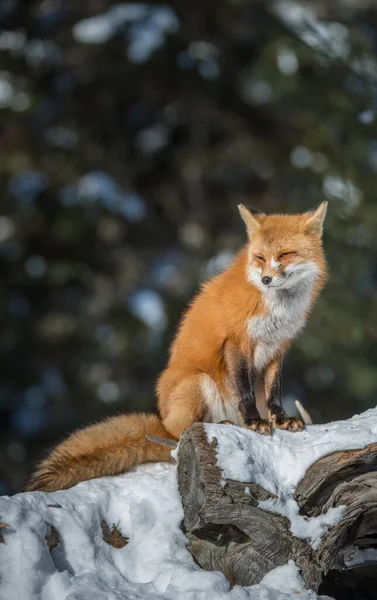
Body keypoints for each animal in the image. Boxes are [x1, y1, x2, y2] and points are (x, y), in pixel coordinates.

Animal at [25, 203, 326, 492]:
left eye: (285, 254)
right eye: (260, 258)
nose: (265, 280)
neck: (276, 307)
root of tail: (163, 420)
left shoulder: (278, 347)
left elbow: (274, 391)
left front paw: (280, 420)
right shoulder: (236, 342)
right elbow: (246, 392)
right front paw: (254, 422)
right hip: (198, 383)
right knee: (179, 435)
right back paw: (220, 425)